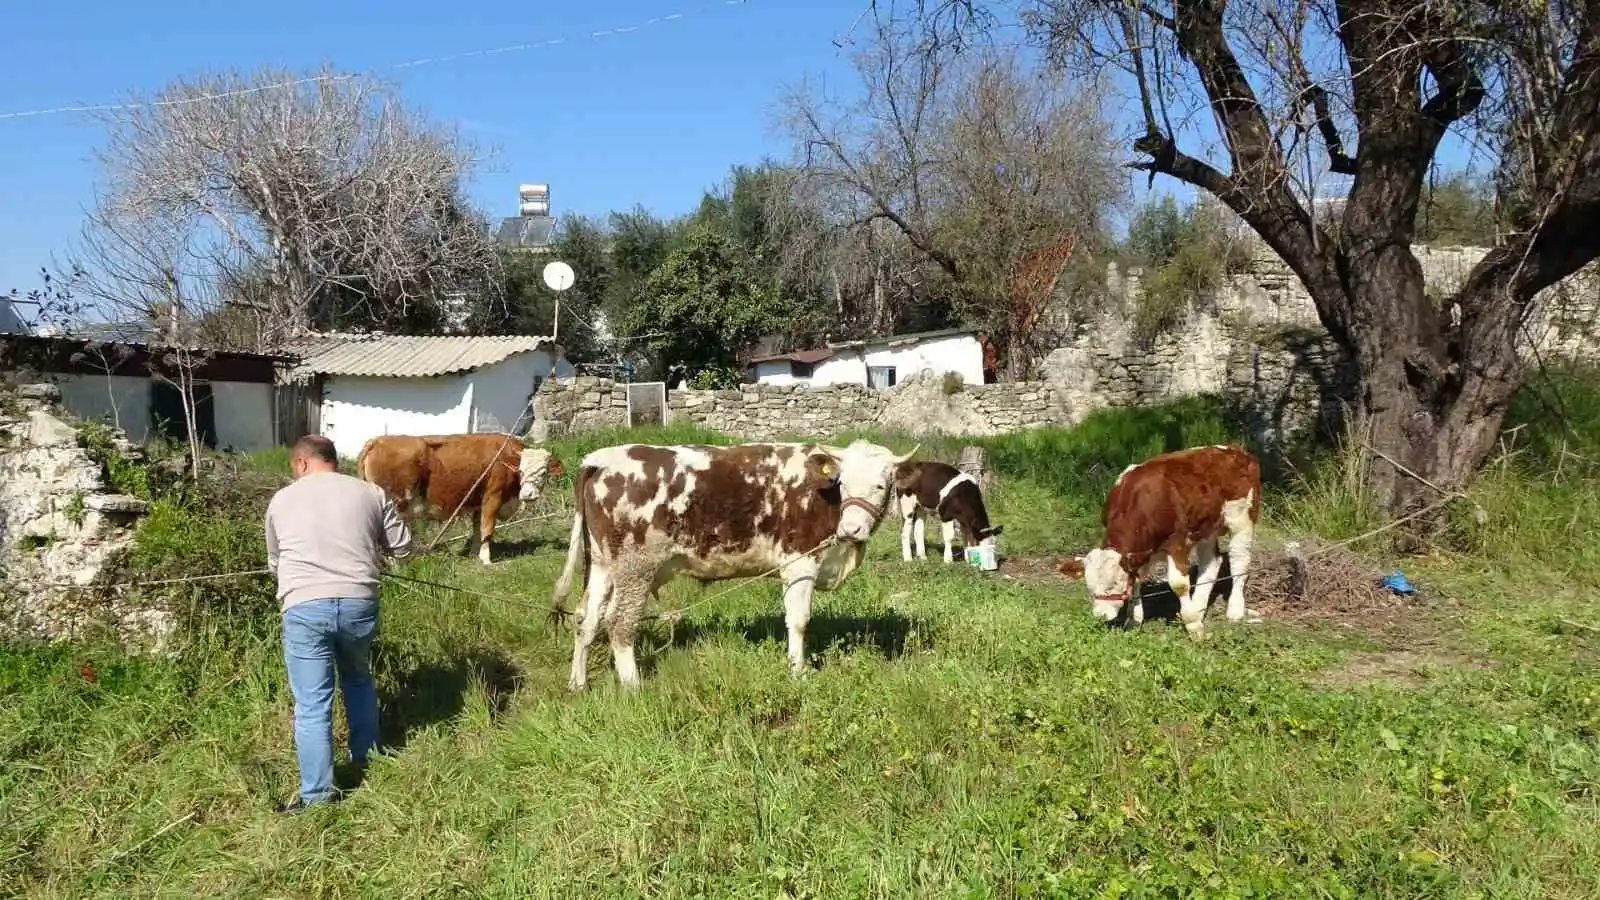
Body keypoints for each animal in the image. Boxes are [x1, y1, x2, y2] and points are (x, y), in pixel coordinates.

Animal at [358, 432, 569, 560]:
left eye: (543, 471)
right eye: (521, 471)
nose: (528, 494)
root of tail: (376, 441)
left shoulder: (478, 502)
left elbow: (477, 529)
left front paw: (475, 554)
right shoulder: (493, 497)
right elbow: (487, 529)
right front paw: (486, 560)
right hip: (394, 504)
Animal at [553, 435, 915, 685]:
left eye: (881, 485)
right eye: (843, 483)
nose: (852, 528)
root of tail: (599, 459)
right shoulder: (799, 562)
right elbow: (798, 620)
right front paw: (797, 672)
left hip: (604, 565)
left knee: (587, 618)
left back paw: (578, 681)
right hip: (636, 566)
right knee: (619, 622)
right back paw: (633, 686)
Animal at [1062, 441, 1260, 637]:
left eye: (1117, 583)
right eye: (1089, 586)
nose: (1101, 614)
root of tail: (1236, 450)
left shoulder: (1176, 542)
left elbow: (1179, 584)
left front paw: (1193, 626)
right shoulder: (1139, 553)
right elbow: (1136, 581)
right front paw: (1133, 622)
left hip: (1243, 519)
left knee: (1239, 562)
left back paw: (1234, 610)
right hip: (1206, 528)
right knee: (1211, 562)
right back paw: (1198, 607)